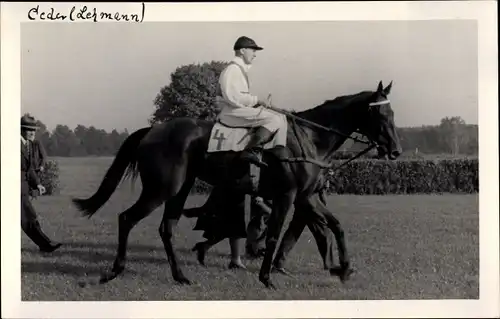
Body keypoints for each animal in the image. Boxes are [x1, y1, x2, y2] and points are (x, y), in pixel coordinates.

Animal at [71, 80, 402, 290]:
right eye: (379, 113)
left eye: (393, 113)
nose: (396, 150)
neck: (308, 138)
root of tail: (153, 130)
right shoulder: (288, 195)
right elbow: (274, 236)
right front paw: (267, 278)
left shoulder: (306, 197)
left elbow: (336, 225)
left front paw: (343, 268)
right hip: (160, 189)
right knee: (127, 218)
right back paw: (115, 270)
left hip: (180, 190)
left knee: (167, 228)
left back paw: (180, 276)